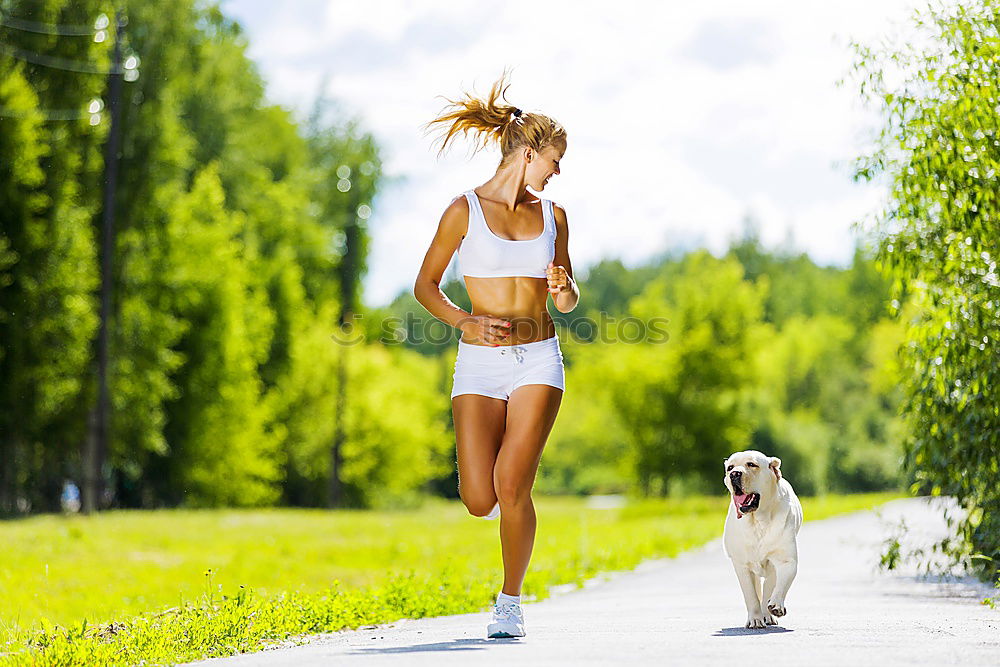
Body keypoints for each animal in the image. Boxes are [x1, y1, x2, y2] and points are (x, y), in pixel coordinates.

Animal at [724, 452, 800, 628]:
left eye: (752, 465)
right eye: (730, 467)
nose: (734, 474)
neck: (758, 521)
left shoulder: (785, 560)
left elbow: (779, 584)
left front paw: (776, 606)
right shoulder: (742, 565)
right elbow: (751, 595)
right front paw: (755, 619)